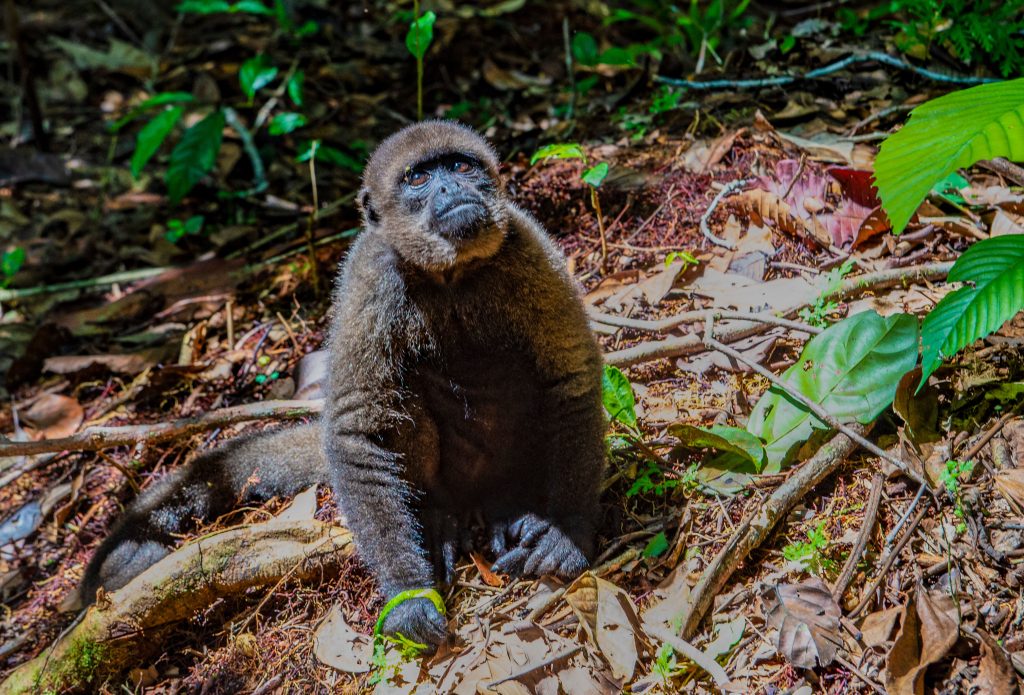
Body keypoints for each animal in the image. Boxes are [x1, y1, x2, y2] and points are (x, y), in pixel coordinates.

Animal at [81, 120, 606, 649]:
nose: (449, 189)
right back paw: (437, 516)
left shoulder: (526, 245)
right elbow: (359, 430)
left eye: (461, 166)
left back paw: (508, 503)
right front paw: (409, 597)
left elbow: (571, 376)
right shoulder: (369, 273)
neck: (452, 274)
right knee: (399, 402)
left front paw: (567, 533)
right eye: (419, 178)